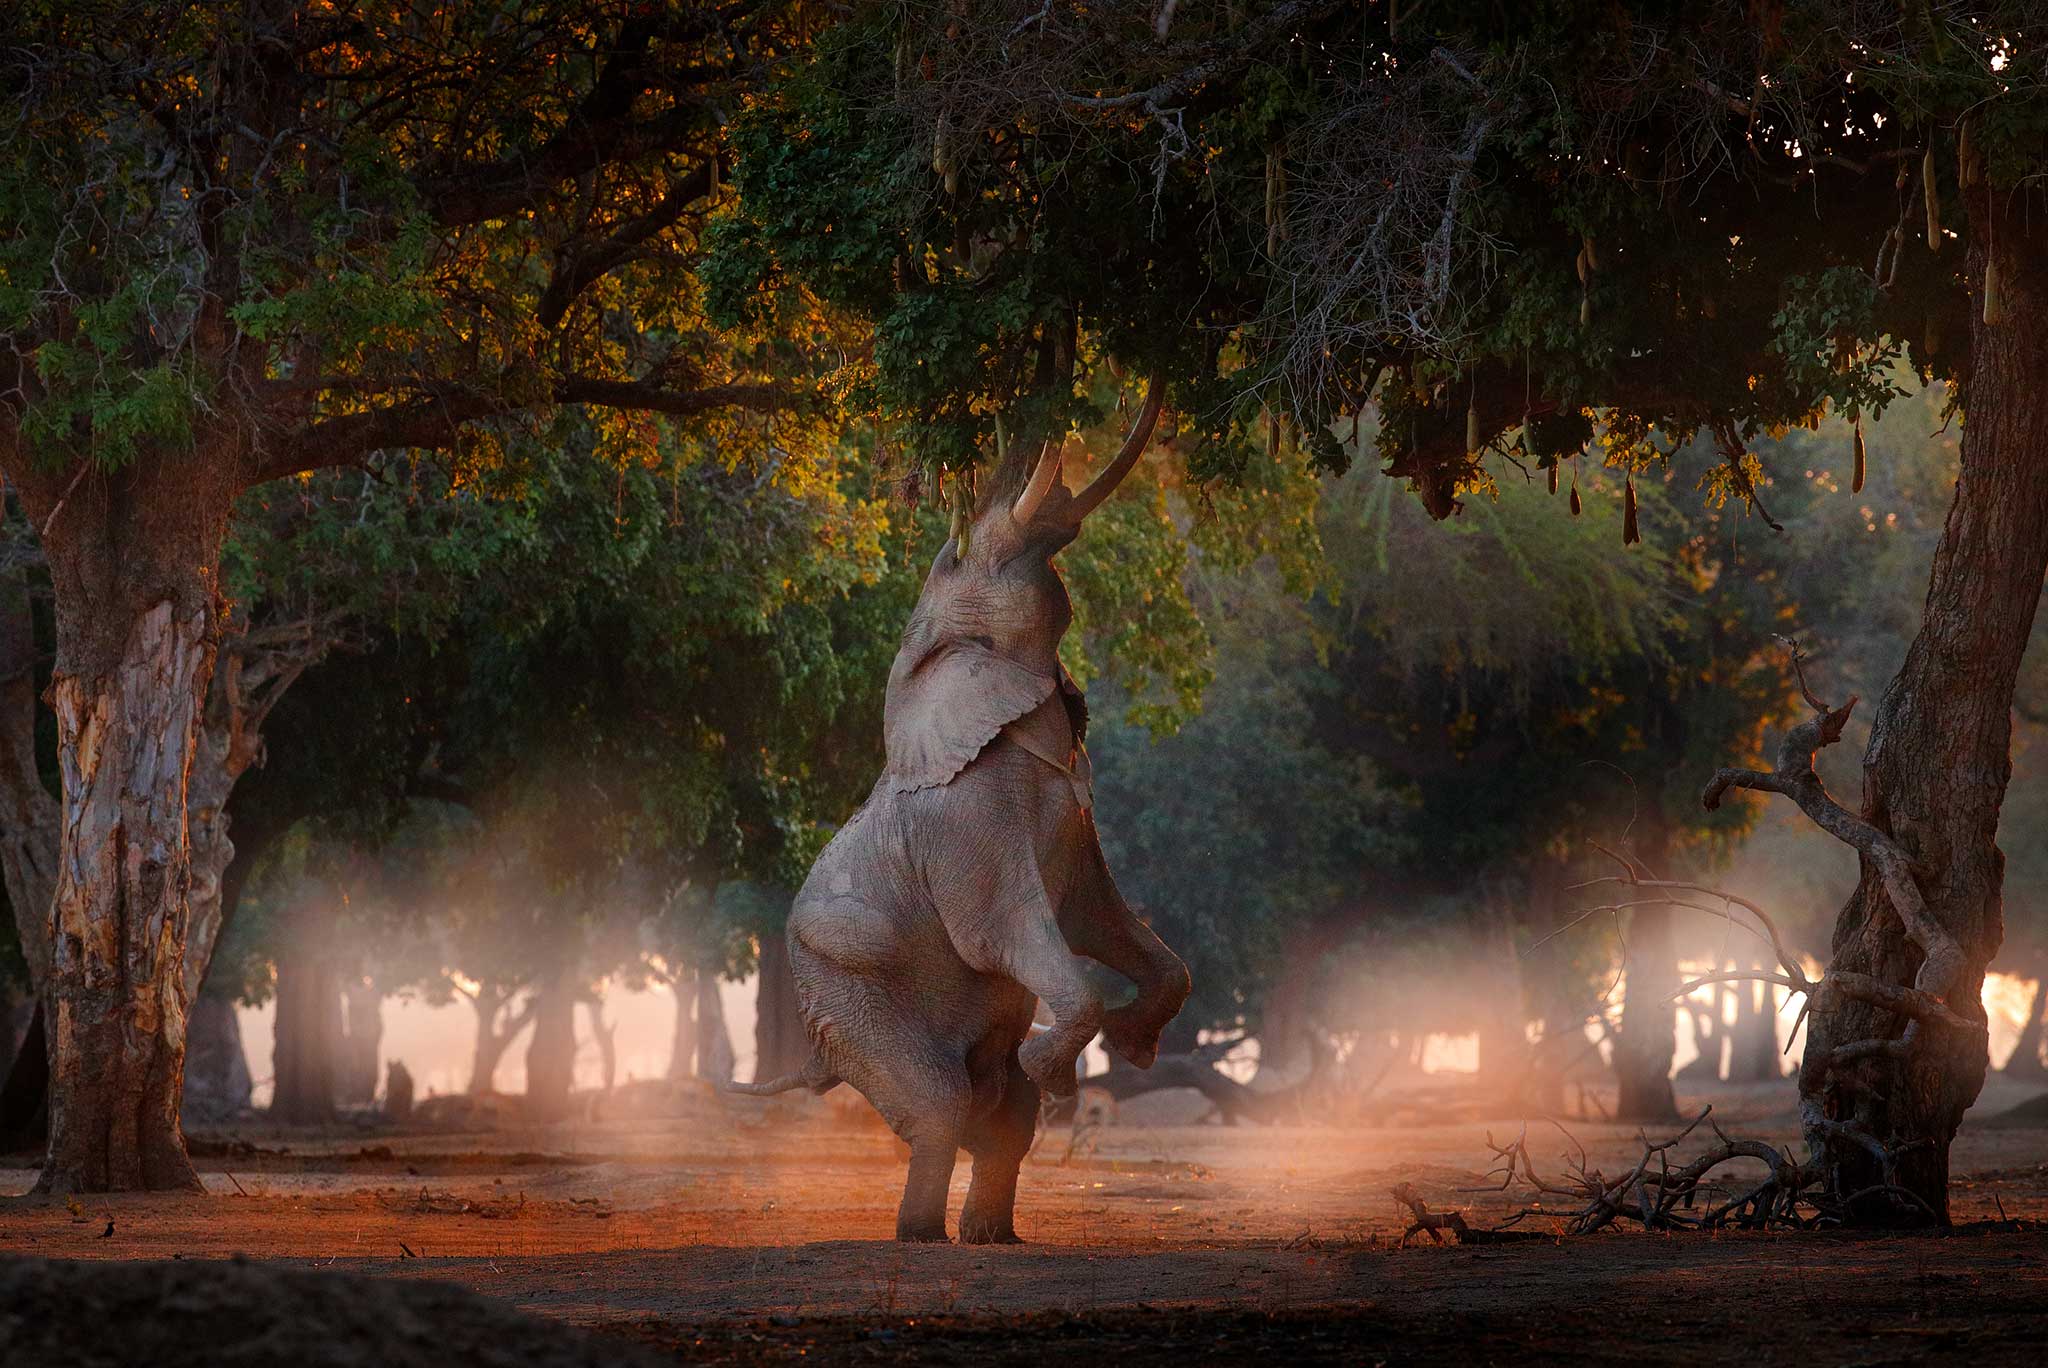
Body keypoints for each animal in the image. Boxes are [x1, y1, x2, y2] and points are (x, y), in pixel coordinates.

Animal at [733, 378, 1187, 1245]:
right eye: (961, 554)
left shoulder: (1077, 816)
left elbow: (1094, 914)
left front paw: (1137, 1045)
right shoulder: (963, 824)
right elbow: (999, 928)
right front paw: (1062, 1065)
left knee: (1002, 1112)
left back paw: (994, 1235)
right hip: (842, 990)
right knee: (941, 1100)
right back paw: (923, 1234)